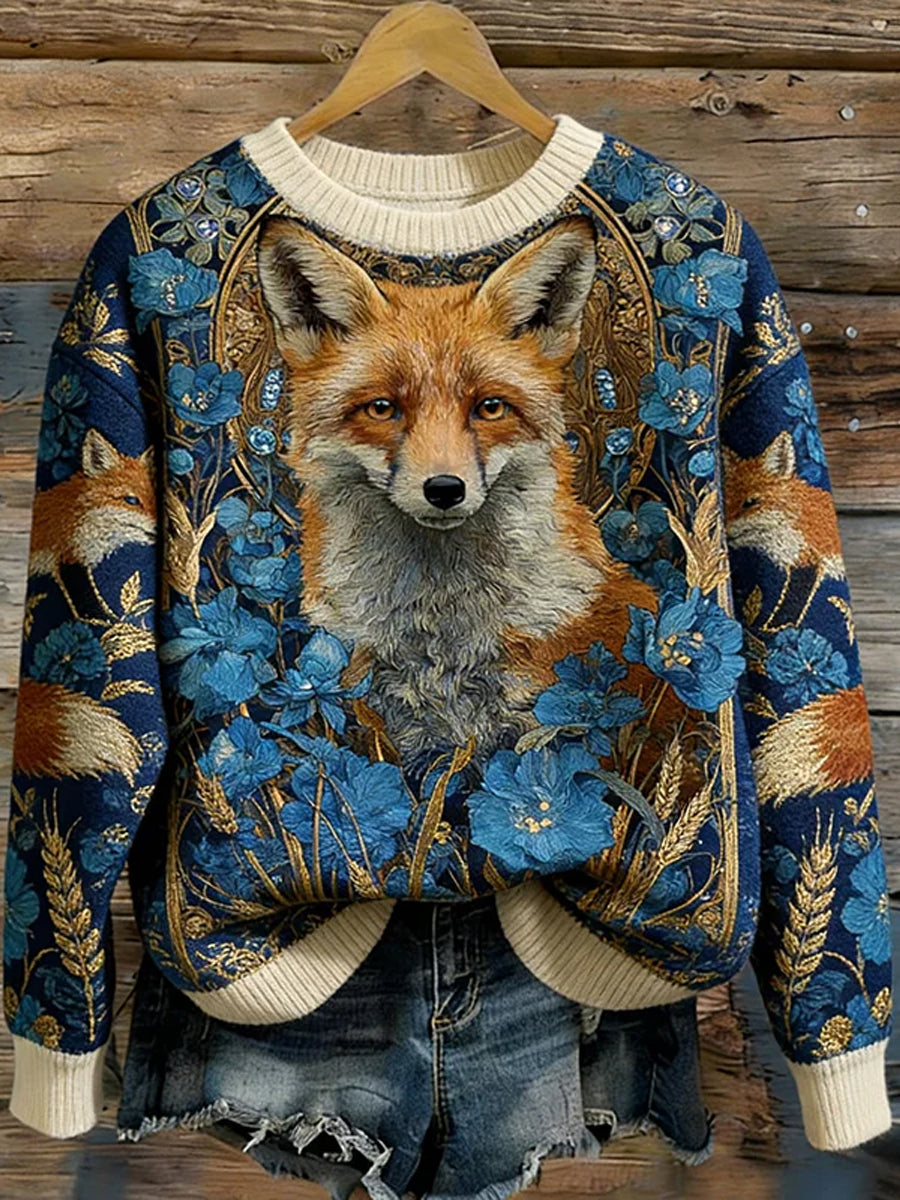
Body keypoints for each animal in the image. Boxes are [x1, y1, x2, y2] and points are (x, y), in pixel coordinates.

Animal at [255, 212, 695, 785]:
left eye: (489, 407)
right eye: (382, 408)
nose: (444, 489)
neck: (439, 633)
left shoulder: (542, 727)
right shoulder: (394, 733)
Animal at [722, 430, 872, 804]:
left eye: (751, 502)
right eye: (727, 501)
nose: (726, 535)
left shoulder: (808, 560)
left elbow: (793, 604)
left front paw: (775, 626)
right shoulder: (794, 562)